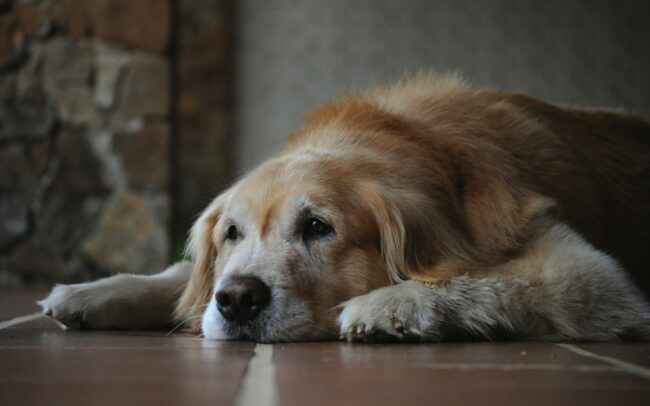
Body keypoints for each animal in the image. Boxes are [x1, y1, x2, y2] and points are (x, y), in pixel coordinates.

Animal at [38, 73, 644, 342]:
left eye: (317, 226)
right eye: (231, 234)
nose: (237, 301)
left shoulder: (587, 273)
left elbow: (479, 277)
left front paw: (389, 304)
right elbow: (184, 279)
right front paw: (94, 292)